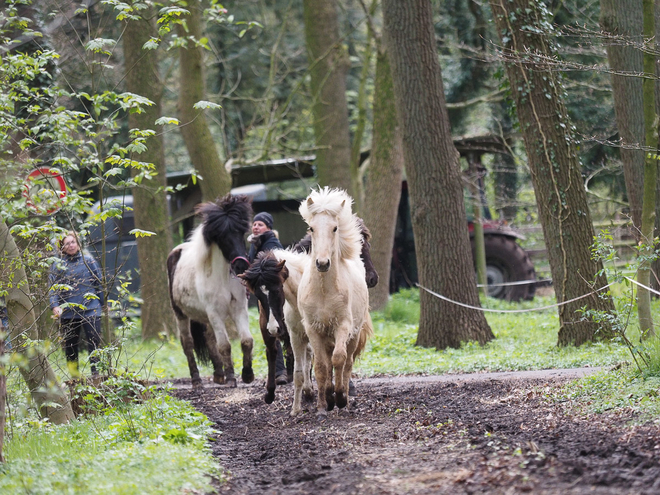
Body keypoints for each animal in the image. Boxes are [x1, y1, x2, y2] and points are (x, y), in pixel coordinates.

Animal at [166, 196, 254, 390]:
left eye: (240, 232)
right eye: (222, 236)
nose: (241, 266)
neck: (223, 279)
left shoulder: (239, 309)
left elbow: (246, 341)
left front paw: (247, 375)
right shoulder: (215, 314)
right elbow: (225, 346)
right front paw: (231, 378)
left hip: (205, 317)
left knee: (209, 338)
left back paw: (218, 375)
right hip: (181, 314)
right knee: (188, 343)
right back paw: (197, 380)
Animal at [300, 188, 372, 416]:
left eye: (334, 228)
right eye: (311, 228)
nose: (322, 263)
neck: (323, 291)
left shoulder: (343, 325)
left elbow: (339, 359)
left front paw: (339, 397)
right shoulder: (313, 328)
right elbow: (321, 367)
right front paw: (323, 405)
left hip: (354, 335)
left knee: (347, 363)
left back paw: (344, 398)